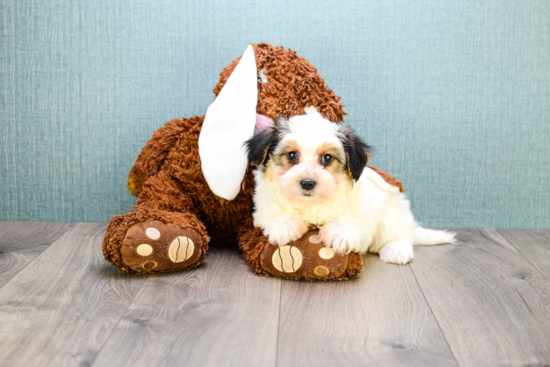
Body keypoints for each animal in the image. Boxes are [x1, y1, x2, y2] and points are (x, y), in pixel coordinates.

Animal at [246, 108, 458, 266]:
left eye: (327, 158)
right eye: (291, 155)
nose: (307, 182)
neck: (312, 204)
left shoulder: (359, 209)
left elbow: (348, 220)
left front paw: (340, 236)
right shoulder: (264, 207)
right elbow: (275, 215)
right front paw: (285, 227)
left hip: (392, 214)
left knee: (398, 235)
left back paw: (396, 250)